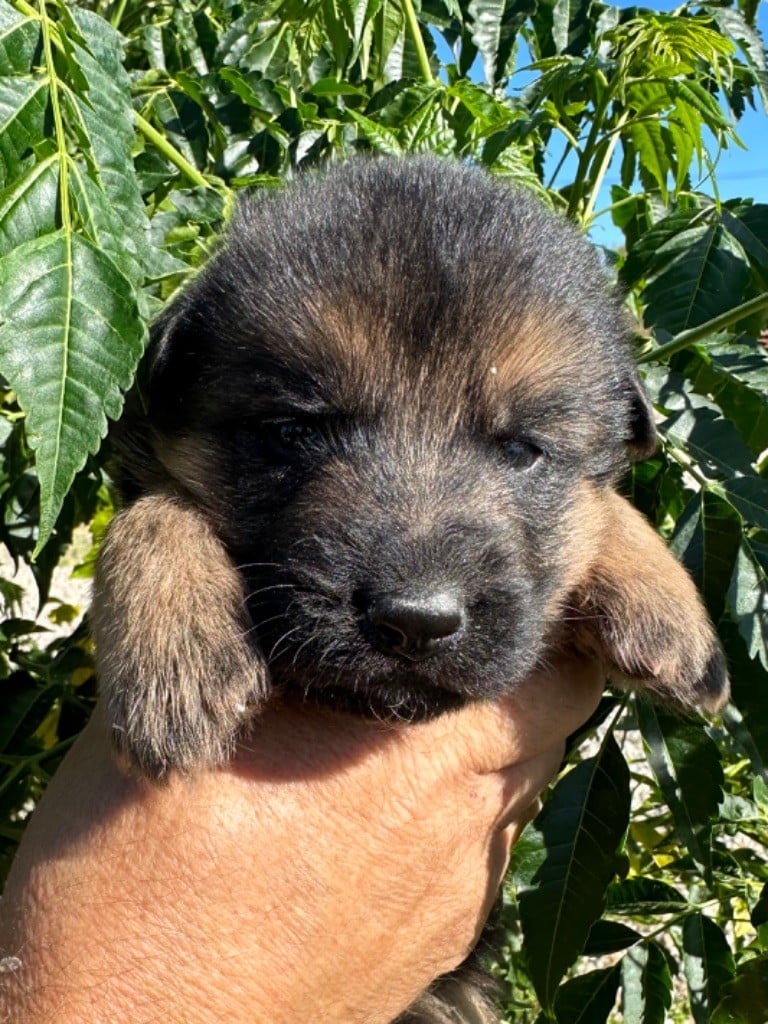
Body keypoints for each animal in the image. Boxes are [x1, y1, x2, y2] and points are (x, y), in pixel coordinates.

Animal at [91, 155, 729, 1024]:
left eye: (521, 450)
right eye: (294, 432)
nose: (415, 623)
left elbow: (604, 507)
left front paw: (668, 605)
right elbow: (153, 512)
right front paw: (176, 650)